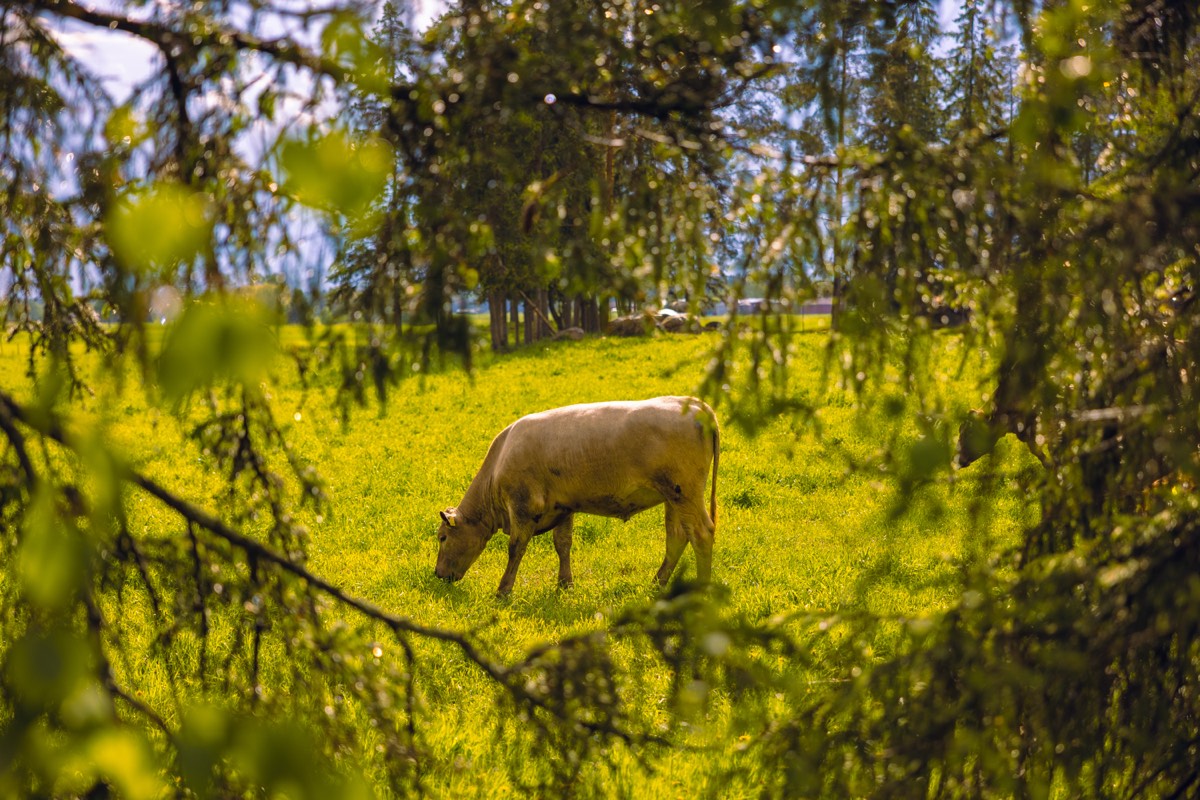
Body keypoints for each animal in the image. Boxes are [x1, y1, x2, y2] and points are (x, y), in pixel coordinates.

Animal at [435, 396, 719, 596]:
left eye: (442, 537)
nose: (438, 574)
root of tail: (694, 403)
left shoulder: (523, 506)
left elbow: (516, 548)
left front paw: (503, 590)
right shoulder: (563, 506)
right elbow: (563, 545)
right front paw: (565, 585)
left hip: (685, 492)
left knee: (701, 534)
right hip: (673, 498)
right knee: (677, 537)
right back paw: (657, 583)